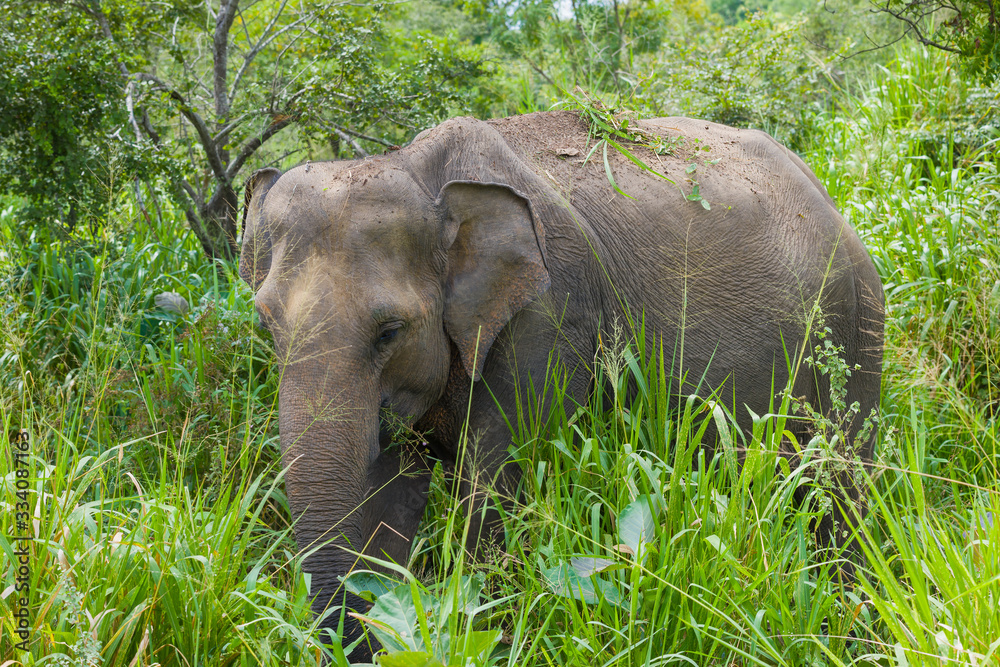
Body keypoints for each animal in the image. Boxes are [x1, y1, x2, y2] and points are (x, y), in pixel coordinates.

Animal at [238, 110, 884, 660]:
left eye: (390, 331)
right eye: (265, 322)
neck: (416, 168)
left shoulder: (547, 319)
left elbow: (496, 489)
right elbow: (391, 490)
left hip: (857, 332)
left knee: (841, 485)